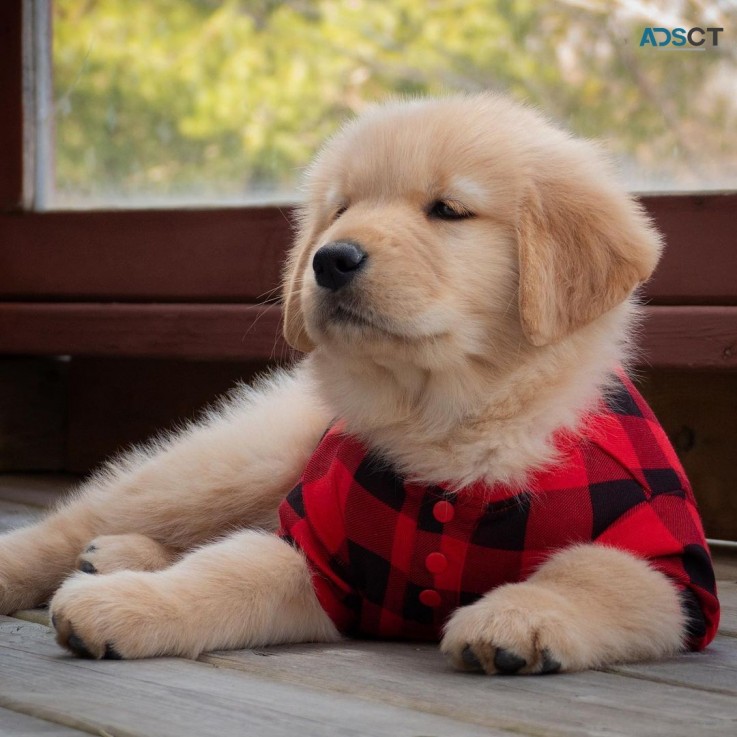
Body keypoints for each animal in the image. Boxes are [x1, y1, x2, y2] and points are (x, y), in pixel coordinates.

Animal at [0, 93, 716, 672]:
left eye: (448, 210)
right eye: (340, 208)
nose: (330, 259)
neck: (447, 416)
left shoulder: (671, 564)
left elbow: (598, 573)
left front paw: (513, 617)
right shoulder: (319, 550)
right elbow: (226, 572)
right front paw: (123, 605)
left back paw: (118, 555)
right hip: (237, 462)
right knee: (80, 522)